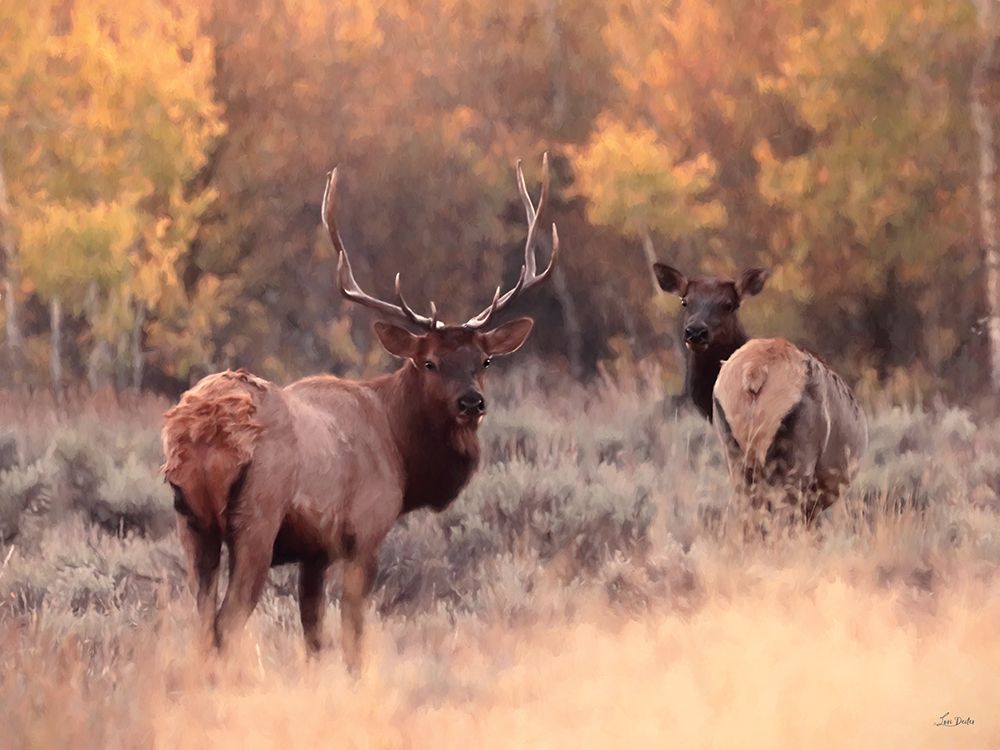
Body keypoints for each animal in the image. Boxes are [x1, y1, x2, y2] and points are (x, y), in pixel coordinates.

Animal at [162, 155, 559, 667]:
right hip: (256, 518)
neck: (402, 455)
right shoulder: (365, 531)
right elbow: (353, 633)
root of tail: (204, 427)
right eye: (428, 361)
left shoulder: (314, 551)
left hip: (191, 522)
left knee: (199, 624)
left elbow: (313, 635)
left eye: (484, 361)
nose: (471, 401)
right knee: (225, 625)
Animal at [653, 262, 868, 521]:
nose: (695, 332)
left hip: (736, 450)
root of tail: (755, 372)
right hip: (795, 457)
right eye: (685, 301)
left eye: (729, 304)